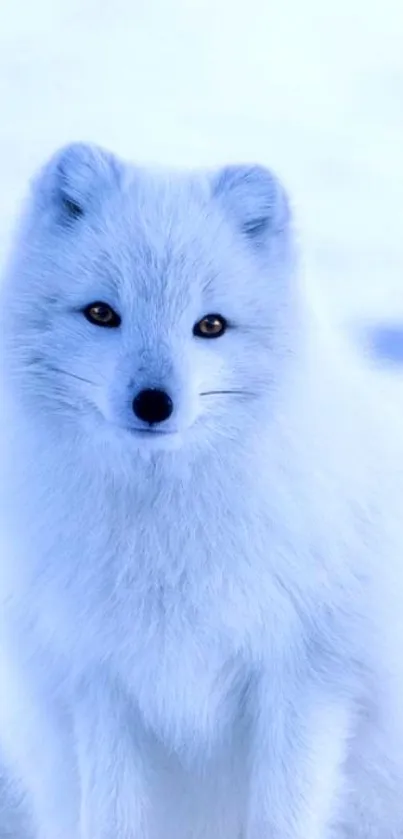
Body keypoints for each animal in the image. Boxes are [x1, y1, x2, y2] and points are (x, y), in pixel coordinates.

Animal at [0, 144, 403, 839]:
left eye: (210, 325)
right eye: (102, 313)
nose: (154, 403)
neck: (165, 534)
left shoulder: (308, 678)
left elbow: (281, 818)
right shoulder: (101, 683)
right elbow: (112, 816)